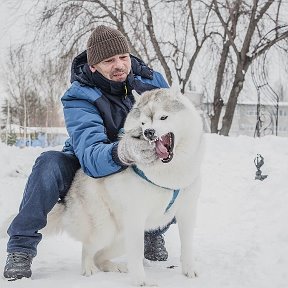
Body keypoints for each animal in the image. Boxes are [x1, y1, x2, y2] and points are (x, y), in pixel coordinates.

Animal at [45, 88, 202, 286]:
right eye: (143, 123)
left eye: (163, 117)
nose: (149, 132)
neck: (168, 172)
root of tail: (67, 199)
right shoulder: (135, 217)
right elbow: (137, 254)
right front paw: (140, 280)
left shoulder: (187, 211)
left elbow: (187, 245)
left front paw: (190, 270)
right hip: (105, 231)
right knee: (88, 248)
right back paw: (88, 268)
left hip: (120, 239)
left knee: (100, 256)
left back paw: (115, 267)